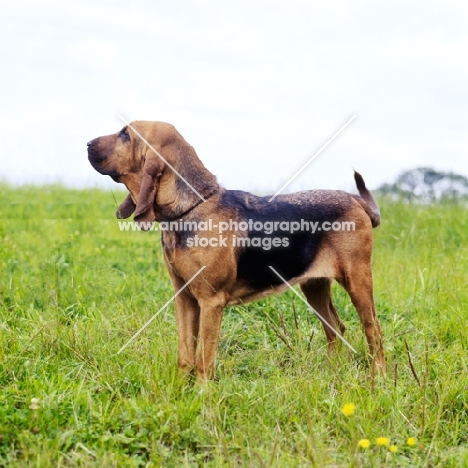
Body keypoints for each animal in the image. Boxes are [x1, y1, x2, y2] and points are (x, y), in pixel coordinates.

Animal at [87, 121, 384, 384]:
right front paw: (179, 391)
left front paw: (201, 395)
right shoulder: (184, 297)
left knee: (374, 331)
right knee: (336, 327)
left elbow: (204, 359)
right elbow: (185, 354)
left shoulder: (211, 302)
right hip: (314, 286)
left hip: (358, 282)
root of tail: (355, 199)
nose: (87, 143)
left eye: (125, 134)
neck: (191, 207)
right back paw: (332, 371)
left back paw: (378, 377)